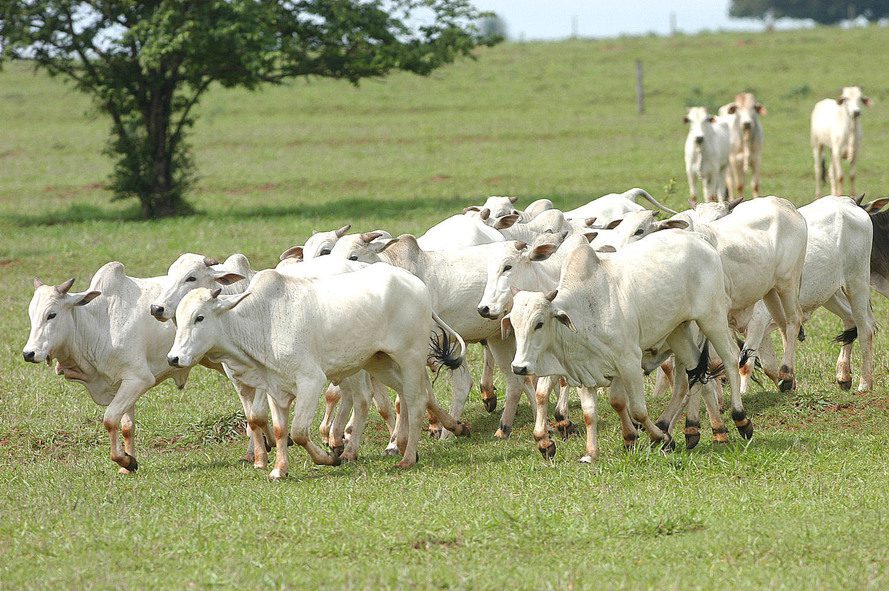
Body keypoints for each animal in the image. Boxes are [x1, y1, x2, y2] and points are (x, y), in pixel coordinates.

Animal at [169, 266, 468, 478]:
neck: (263, 322)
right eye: (178, 320)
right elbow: (279, 430)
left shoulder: (311, 381)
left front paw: (328, 458)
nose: (174, 358)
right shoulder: (274, 388)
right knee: (411, 396)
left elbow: (300, 432)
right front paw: (279, 469)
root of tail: (416, 284)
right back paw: (452, 428)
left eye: (199, 317)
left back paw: (407, 457)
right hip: (378, 362)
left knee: (416, 401)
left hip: (410, 358)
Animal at [502, 234, 744, 464]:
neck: (585, 308)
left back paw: (738, 419)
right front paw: (592, 453)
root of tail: (700, 241)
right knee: (696, 376)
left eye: (539, 323)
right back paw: (691, 431)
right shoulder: (586, 370)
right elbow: (593, 412)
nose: (519, 367)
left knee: (729, 360)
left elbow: (637, 409)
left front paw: (659, 438)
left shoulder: (628, 361)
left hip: (711, 318)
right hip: (679, 332)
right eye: (513, 323)